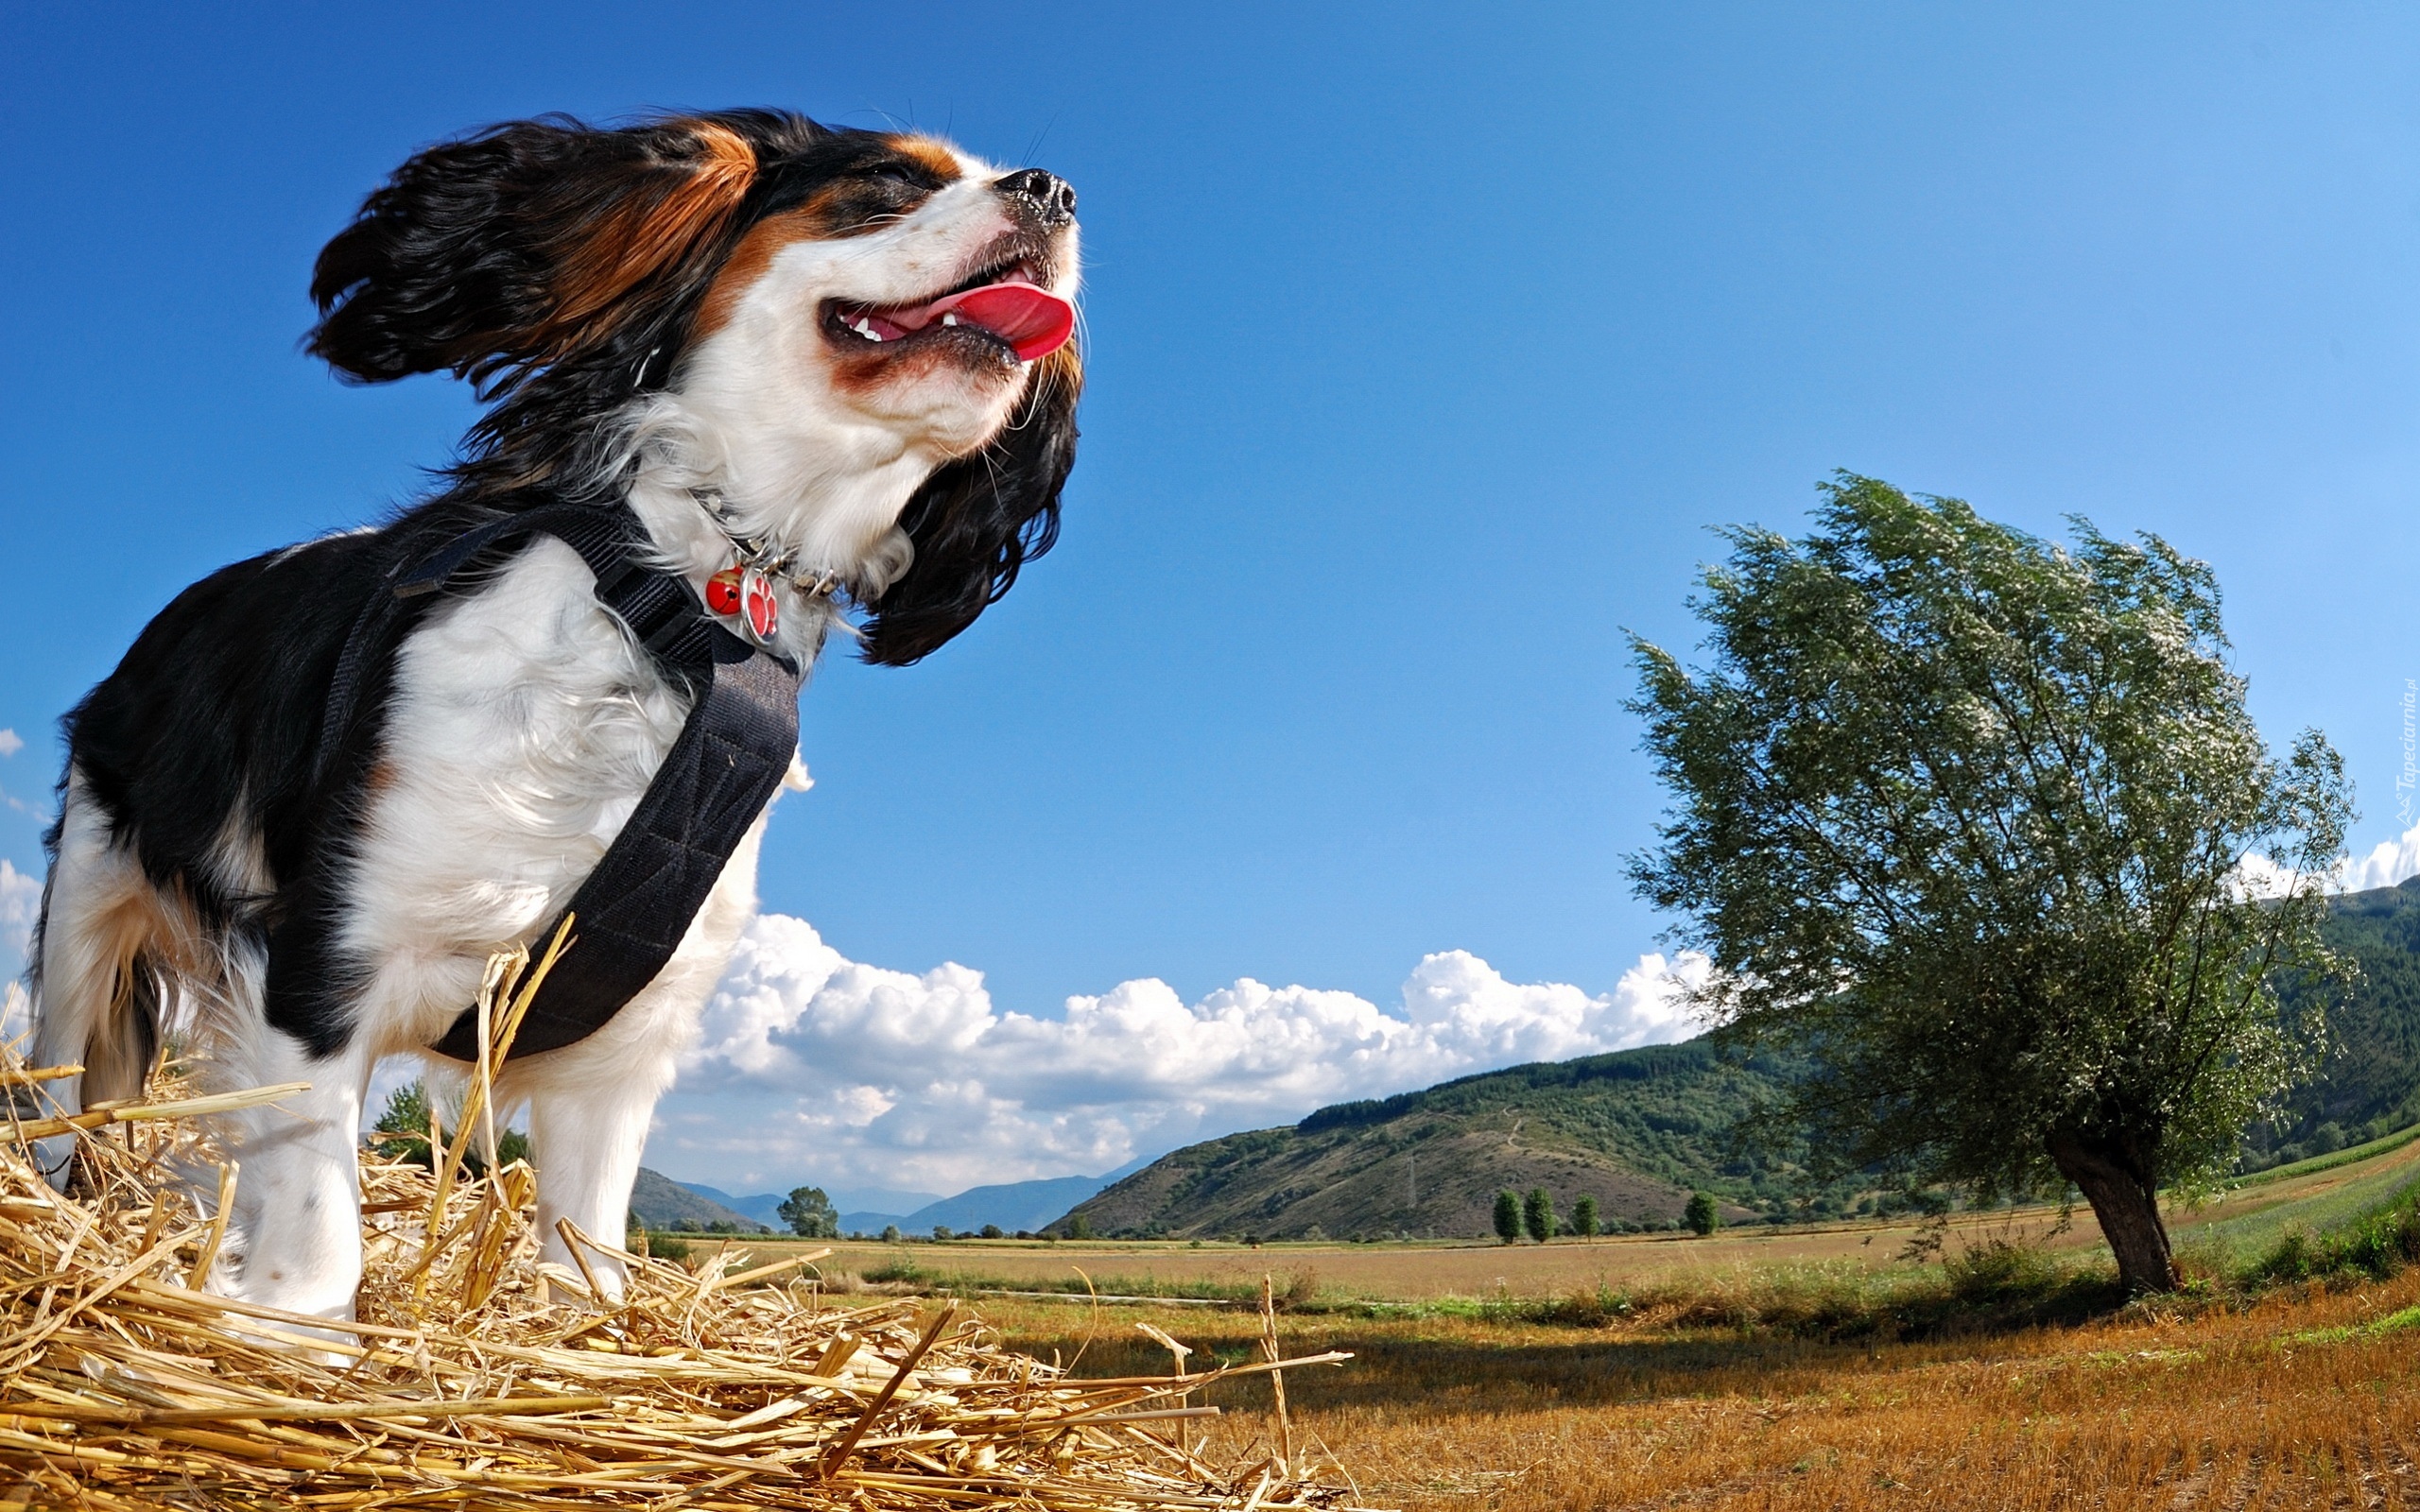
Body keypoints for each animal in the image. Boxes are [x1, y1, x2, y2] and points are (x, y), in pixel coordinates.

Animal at [23, 109, 1083, 1315]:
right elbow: (317, 1227)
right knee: (57, 1107)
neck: (671, 602)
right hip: (85, 925)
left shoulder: (617, 1048)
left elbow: (590, 1259)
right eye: (887, 178)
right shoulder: (322, 956)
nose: (1054, 189)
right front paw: (302, 1328)